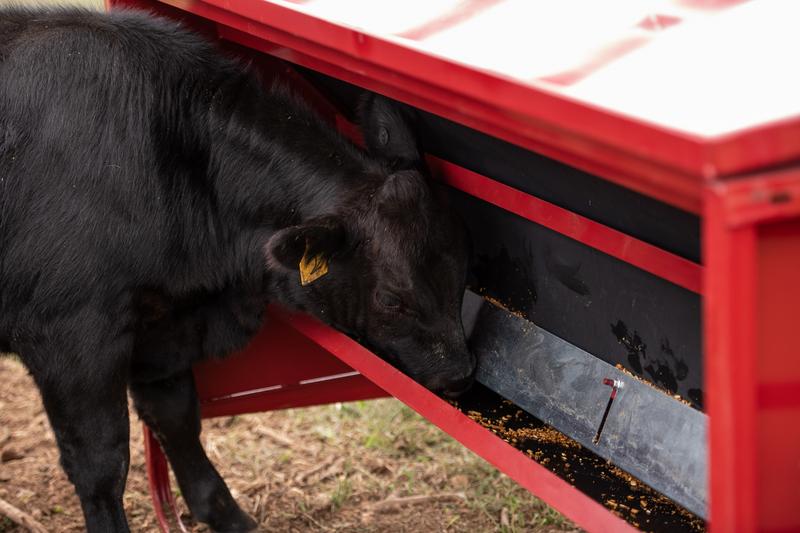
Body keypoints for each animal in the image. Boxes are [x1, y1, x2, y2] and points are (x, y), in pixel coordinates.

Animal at [0, 7, 475, 532]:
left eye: (463, 271)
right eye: (393, 298)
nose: (460, 373)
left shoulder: (162, 326)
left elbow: (176, 419)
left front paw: (225, 515)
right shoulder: (70, 338)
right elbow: (101, 466)